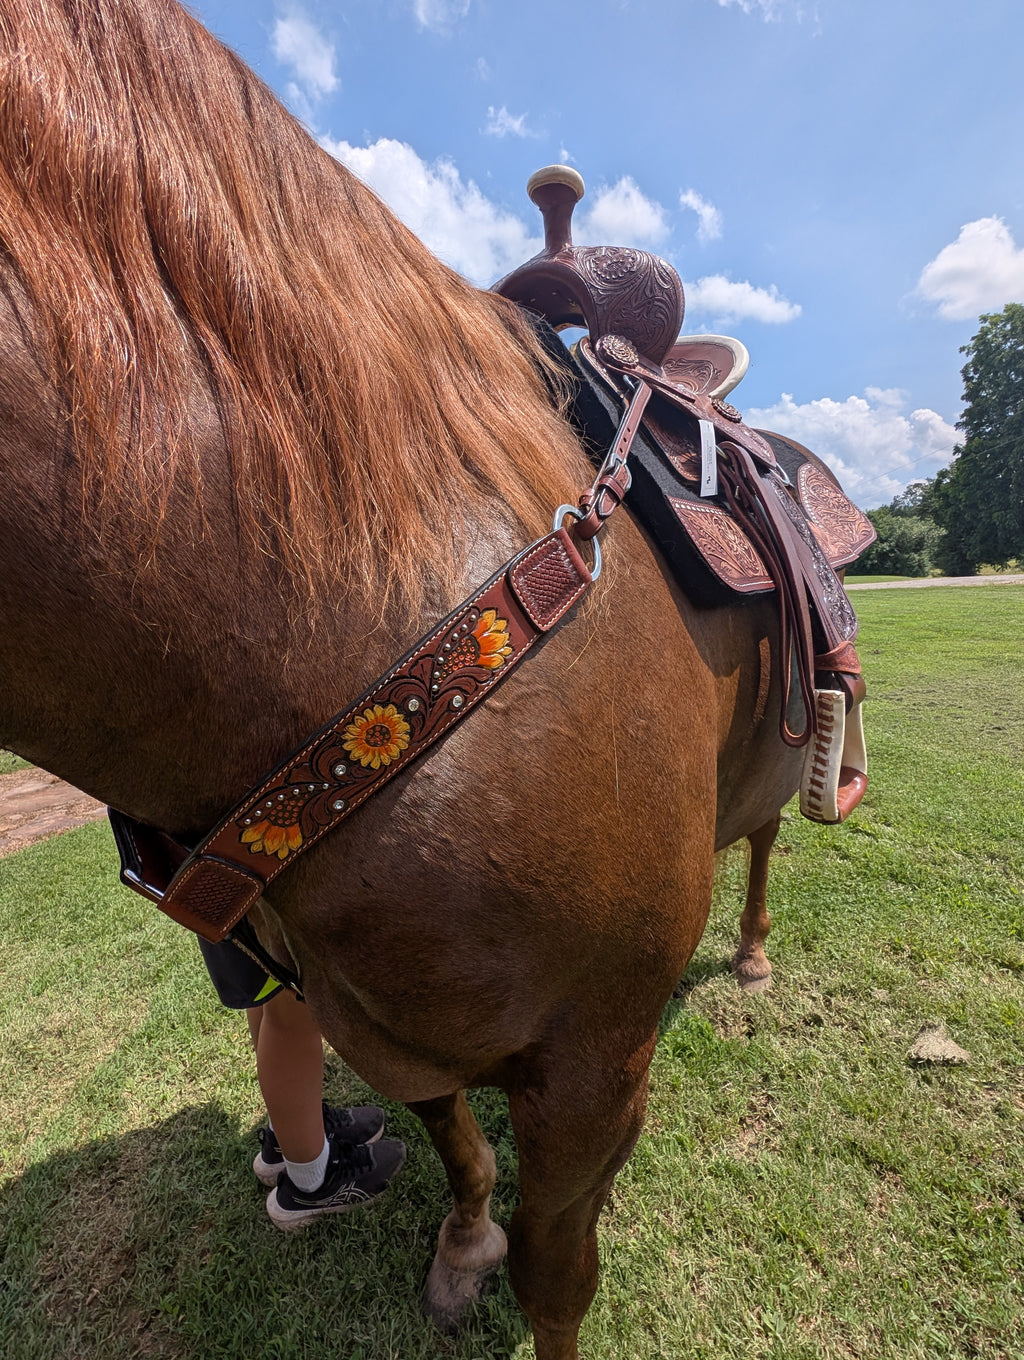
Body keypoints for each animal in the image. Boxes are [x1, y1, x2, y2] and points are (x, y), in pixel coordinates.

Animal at [0, 3, 826, 1356]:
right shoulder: (384, 1028)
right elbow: (459, 1155)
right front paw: (459, 1244)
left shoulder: (587, 1069)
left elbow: (558, 1278)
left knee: (759, 840)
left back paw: (752, 953)